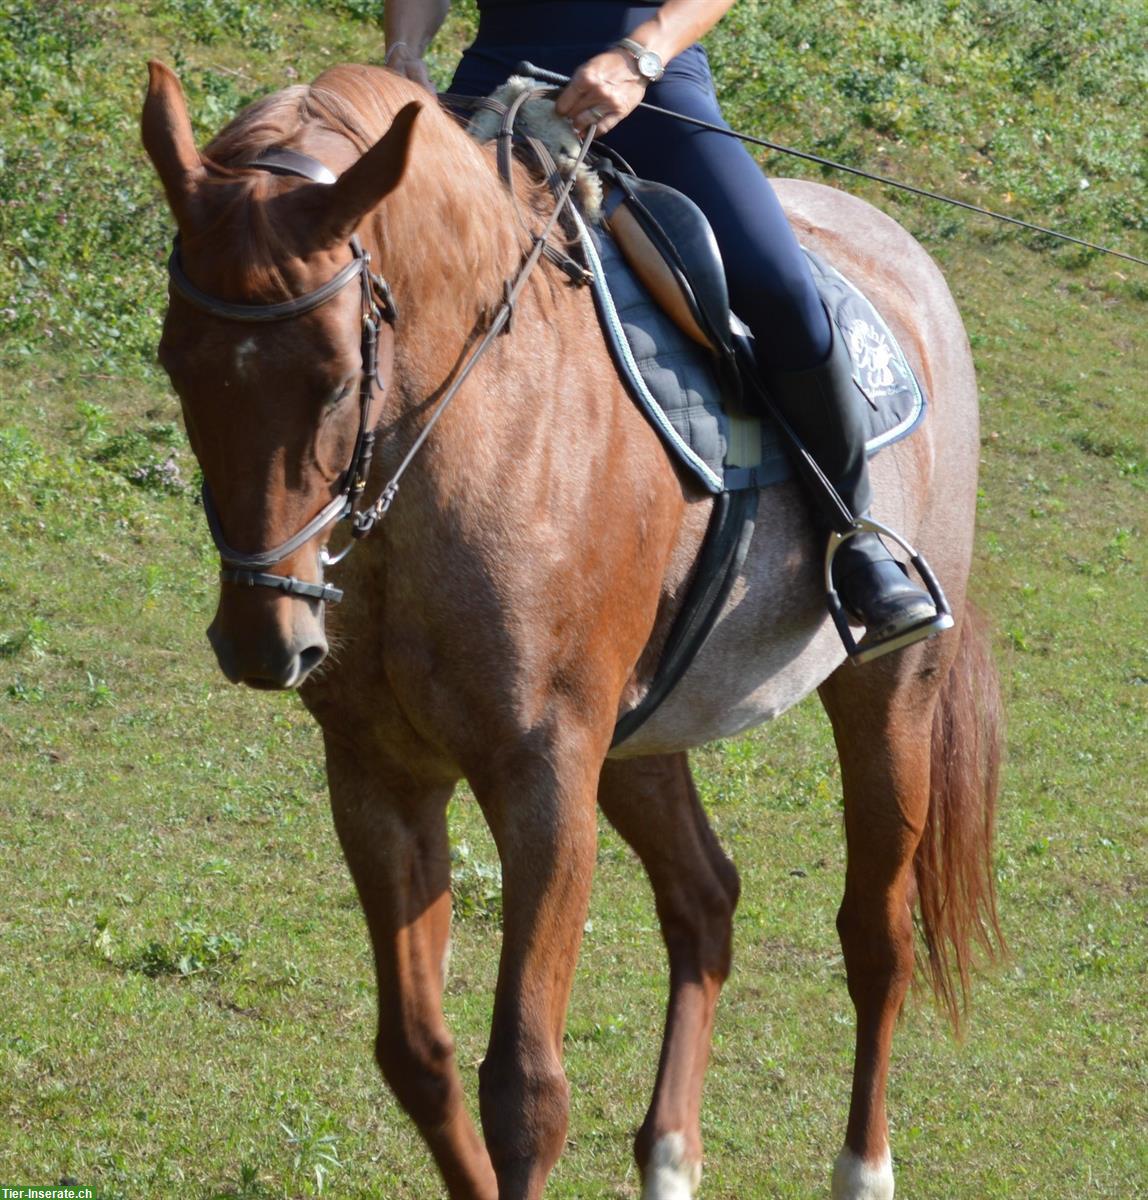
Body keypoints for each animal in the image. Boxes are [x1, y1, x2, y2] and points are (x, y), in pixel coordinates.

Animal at [143, 63, 998, 1200]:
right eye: (176, 364)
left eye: (335, 376)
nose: (261, 638)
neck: (466, 441)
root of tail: (900, 255)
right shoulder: (380, 777)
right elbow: (417, 1057)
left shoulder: (544, 781)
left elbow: (525, 1090)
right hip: (637, 736)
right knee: (704, 899)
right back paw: (669, 1159)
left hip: (888, 698)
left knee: (877, 936)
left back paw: (862, 1167)